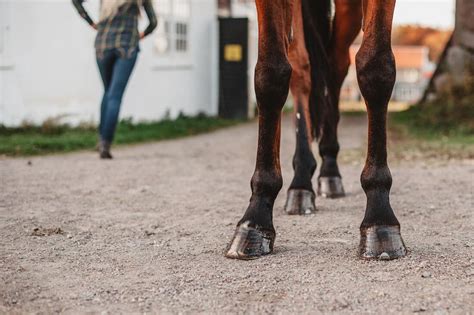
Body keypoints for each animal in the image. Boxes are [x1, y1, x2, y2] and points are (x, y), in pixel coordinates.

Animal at [224, 0, 406, 262]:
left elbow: (376, 67)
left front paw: (379, 218)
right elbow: (270, 74)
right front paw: (255, 220)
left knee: (336, 65)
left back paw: (329, 170)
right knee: (301, 70)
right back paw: (300, 183)